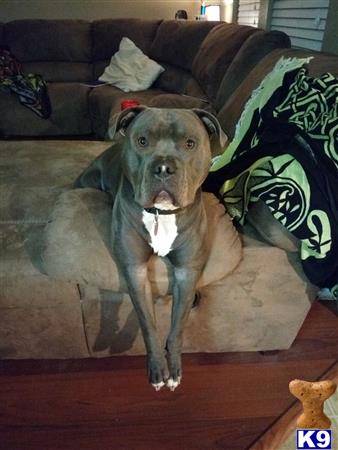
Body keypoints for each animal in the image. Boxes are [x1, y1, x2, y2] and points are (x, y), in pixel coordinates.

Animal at [74, 105, 227, 390]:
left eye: (190, 143)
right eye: (143, 141)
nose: (164, 167)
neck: (161, 214)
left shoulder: (186, 273)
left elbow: (178, 326)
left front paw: (174, 368)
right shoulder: (135, 270)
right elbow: (147, 323)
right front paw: (157, 368)